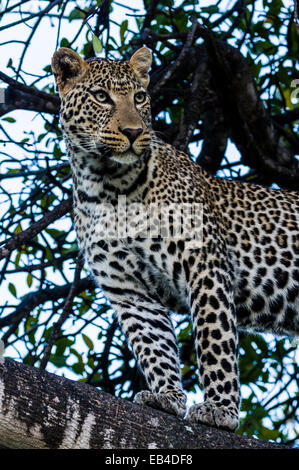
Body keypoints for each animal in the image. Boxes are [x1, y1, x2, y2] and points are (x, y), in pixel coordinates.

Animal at [52, 46, 299, 432]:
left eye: (140, 98)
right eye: (101, 97)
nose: (133, 131)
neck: (105, 185)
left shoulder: (204, 263)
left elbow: (214, 338)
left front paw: (221, 410)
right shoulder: (129, 290)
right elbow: (155, 345)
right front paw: (167, 398)